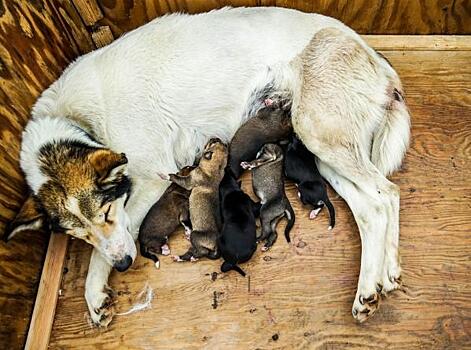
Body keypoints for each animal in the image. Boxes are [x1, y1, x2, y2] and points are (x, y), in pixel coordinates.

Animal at [2, 6, 410, 326]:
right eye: (77, 236)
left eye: (105, 214)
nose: (124, 266)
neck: (77, 121)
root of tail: (374, 56)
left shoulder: (150, 180)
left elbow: (112, 243)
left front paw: (94, 291)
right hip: (323, 154)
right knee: (371, 209)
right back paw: (380, 281)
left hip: (317, 132)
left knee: (385, 195)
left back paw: (372, 287)